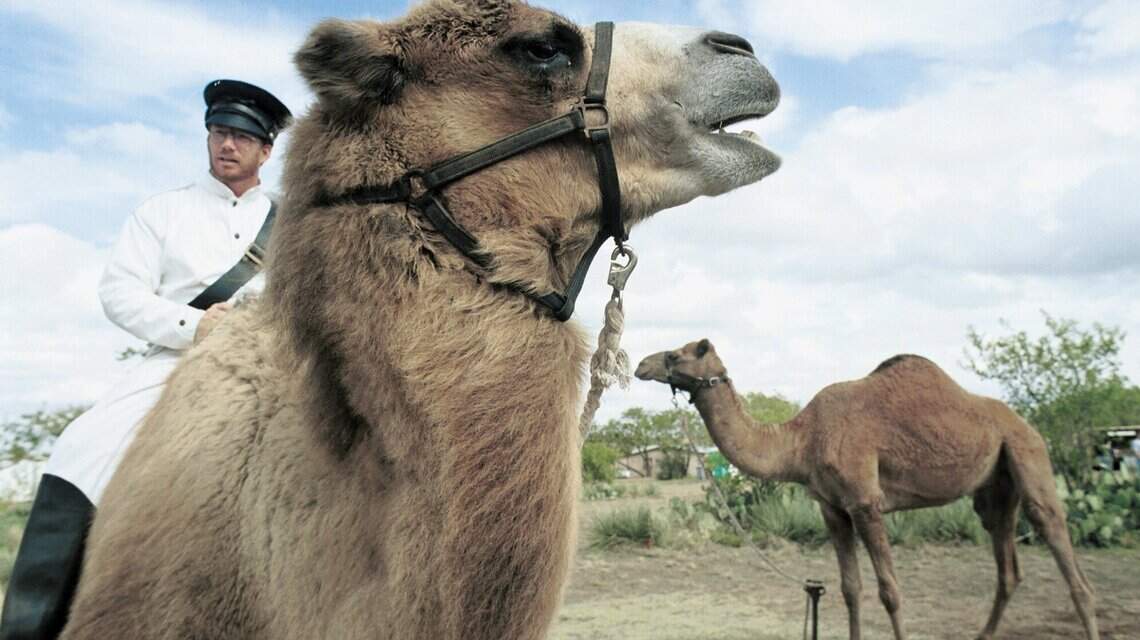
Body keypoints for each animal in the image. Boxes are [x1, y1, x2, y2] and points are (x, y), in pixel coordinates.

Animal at [636, 339, 1099, 640]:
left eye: (675, 354)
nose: (641, 365)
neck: (802, 439)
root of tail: (1024, 422)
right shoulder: (833, 509)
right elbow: (850, 590)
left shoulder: (866, 503)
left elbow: (890, 592)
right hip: (995, 489)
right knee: (1007, 566)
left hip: (1027, 452)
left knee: (1061, 546)